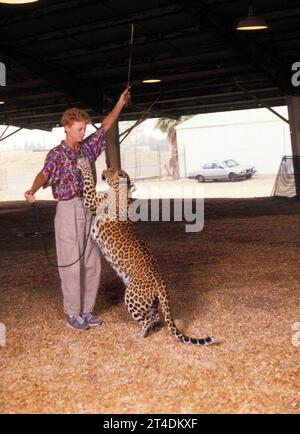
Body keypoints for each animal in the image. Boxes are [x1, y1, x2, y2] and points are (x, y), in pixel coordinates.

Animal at [77, 159, 213, 346]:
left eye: (110, 170)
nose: (104, 171)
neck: (121, 189)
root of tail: (161, 281)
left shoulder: (92, 199)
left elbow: (89, 181)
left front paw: (82, 163)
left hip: (132, 295)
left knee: (148, 319)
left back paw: (140, 334)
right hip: (150, 301)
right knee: (156, 316)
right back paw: (152, 329)